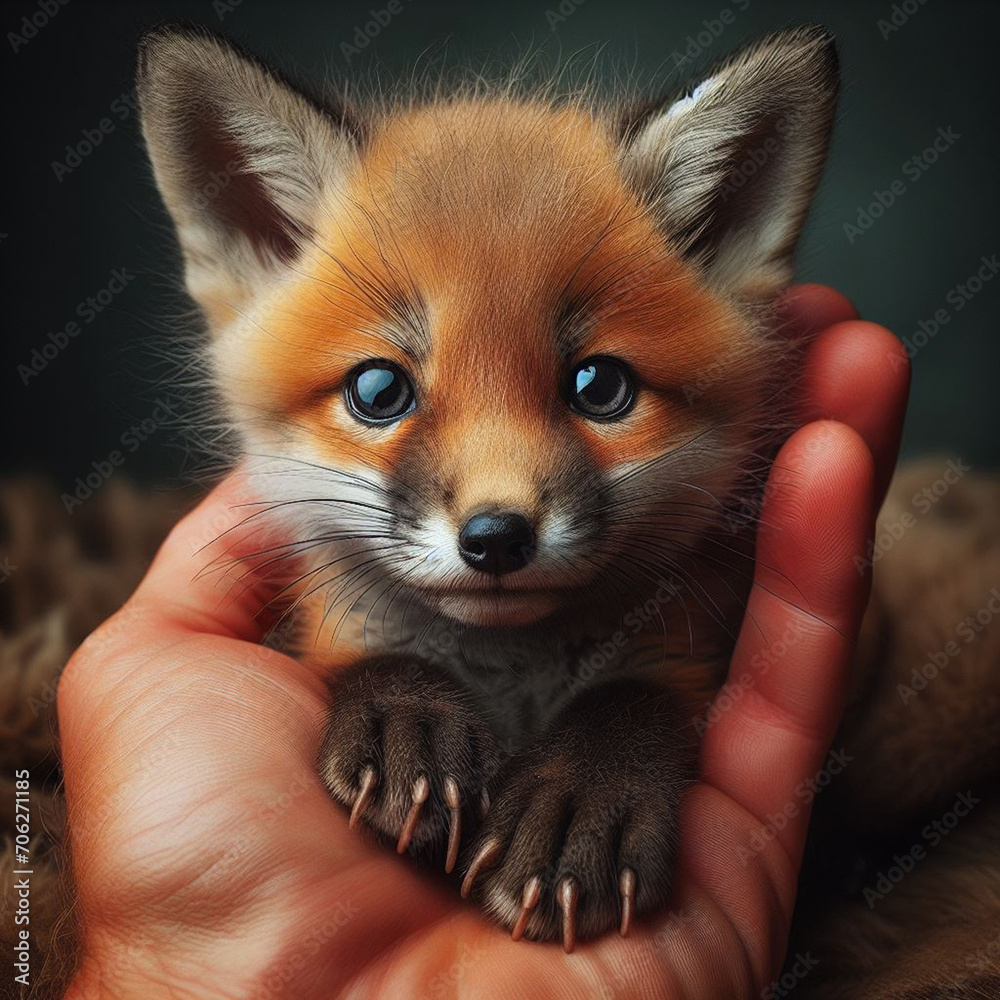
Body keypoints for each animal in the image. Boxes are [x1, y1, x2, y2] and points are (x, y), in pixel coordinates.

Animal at [135, 20, 1000, 975]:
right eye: (378, 391)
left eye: (598, 386)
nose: (496, 537)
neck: (515, 678)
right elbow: (370, 658)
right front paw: (408, 722)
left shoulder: (692, 646)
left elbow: (632, 704)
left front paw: (580, 808)